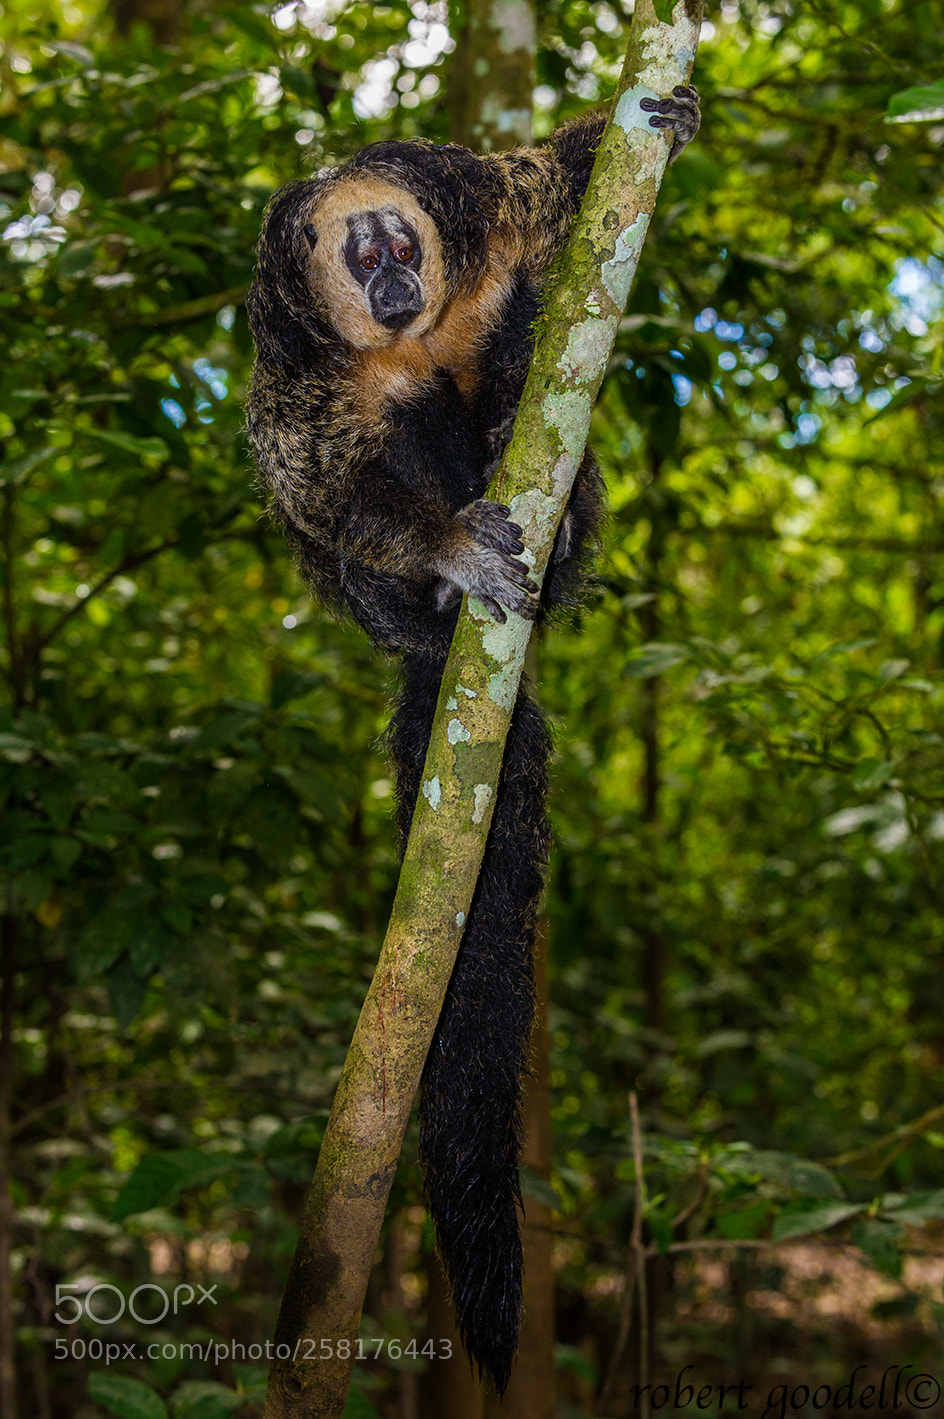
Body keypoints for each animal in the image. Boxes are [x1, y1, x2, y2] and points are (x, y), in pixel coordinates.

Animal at [246, 86, 699, 1395]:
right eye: (360, 260)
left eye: (399, 242)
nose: (396, 277)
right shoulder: (295, 360)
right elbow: (322, 493)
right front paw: (441, 545)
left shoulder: (465, 202)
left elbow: (549, 186)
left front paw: (648, 121)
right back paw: (444, 596)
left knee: (522, 364)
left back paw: (525, 470)